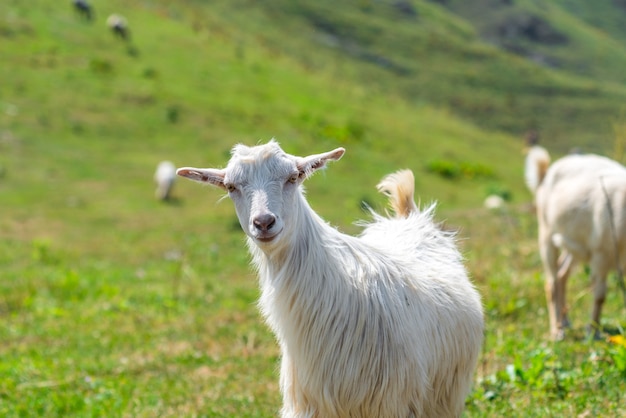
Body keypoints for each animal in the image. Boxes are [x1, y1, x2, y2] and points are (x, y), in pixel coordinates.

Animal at [524, 145, 624, 342]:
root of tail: (546, 174)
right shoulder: (602, 254)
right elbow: (600, 295)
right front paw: (592, 332)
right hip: (546, 233)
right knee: (551, 282)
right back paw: (556, 330)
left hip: (574, 243)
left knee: (562, 274)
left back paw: (565, 321)